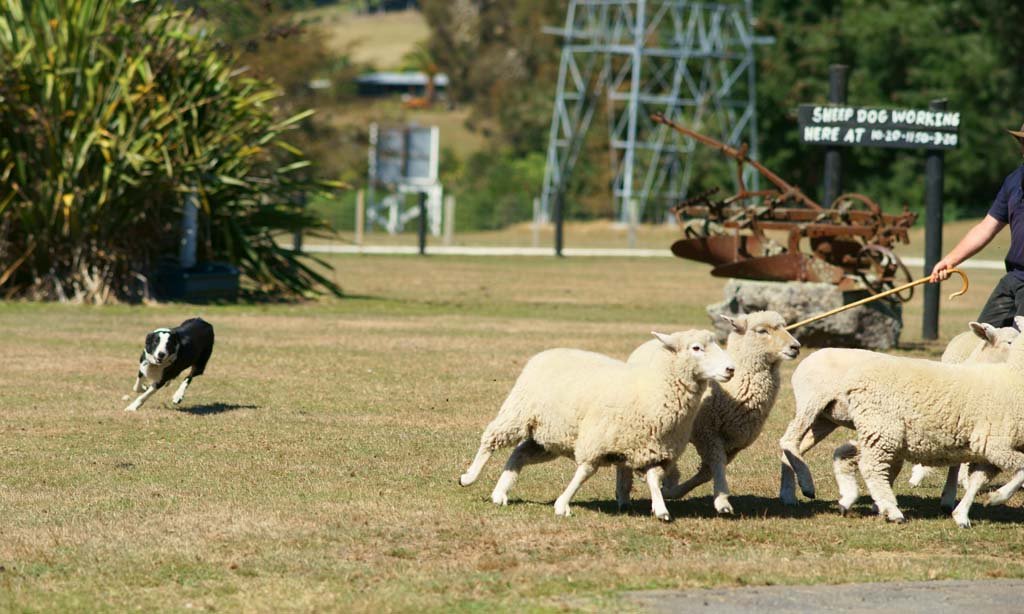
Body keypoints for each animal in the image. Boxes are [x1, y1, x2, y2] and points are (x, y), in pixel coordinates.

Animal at [458, 330, 735, 521]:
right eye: (696, 348)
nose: (730, 369)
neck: (653, 389)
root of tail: (546, 353)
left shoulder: (654, 449)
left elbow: (654, 479)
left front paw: (660, 509)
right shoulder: (596, 440)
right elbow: (584, 472)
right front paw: (563, 505)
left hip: (549, 436)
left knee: (519, 453)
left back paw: (500, 492)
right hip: (518, 413)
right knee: (490, 440)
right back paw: (469, 477)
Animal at [623, 311, 801, 514]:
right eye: (762, 331)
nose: (796, 347)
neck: (735, 389)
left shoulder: (734, 444)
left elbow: (707, 473)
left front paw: (675, 491)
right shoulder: (708, 432)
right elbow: (717, 463)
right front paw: (722, 501)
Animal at [779, 320, 1021, 512]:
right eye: (1010, 342)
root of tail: (810, 357)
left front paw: (946, 498)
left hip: (825, 419)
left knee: (793, 449)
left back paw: (789, 495)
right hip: (811, 402)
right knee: (788, 441)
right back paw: (806, 486)